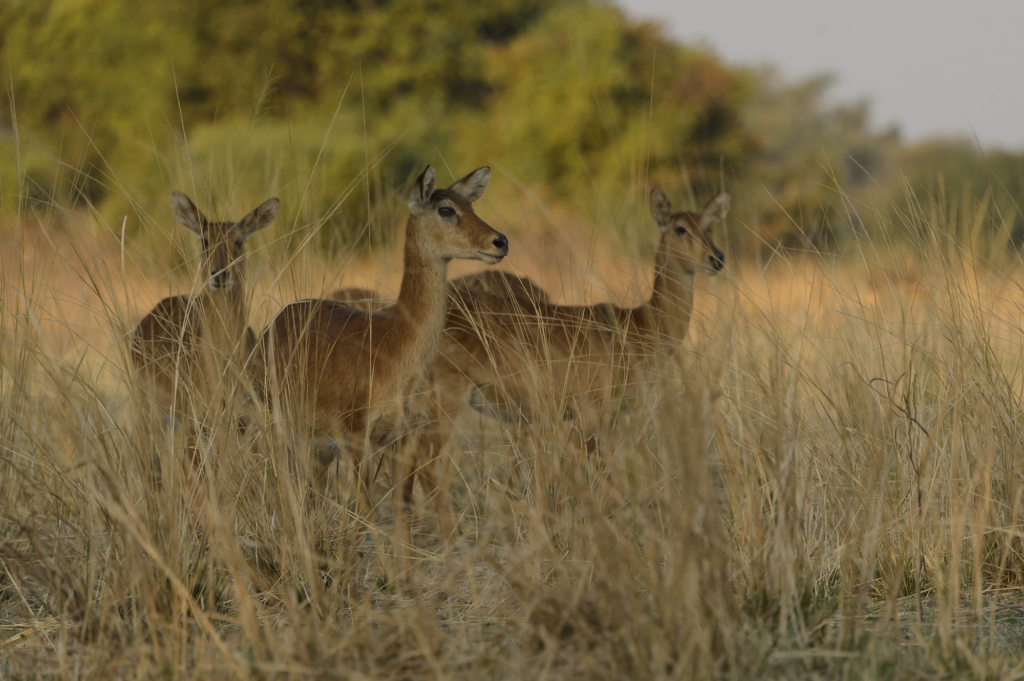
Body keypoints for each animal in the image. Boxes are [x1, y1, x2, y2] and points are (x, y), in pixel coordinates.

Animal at [134, 189, 284, 473]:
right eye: (204, 241)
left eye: (238, 241)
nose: (220, 274)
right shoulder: (197, 423)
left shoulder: (244, 421)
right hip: (153, 417)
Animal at [253, 165, 509, 516]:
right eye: (445, 209)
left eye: (471, 205)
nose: (500, 241)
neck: (394, 342)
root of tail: (273, 323)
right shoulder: (358, 438)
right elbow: (367, 513)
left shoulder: (403, 438)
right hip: (284, 431)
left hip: (319, 448)